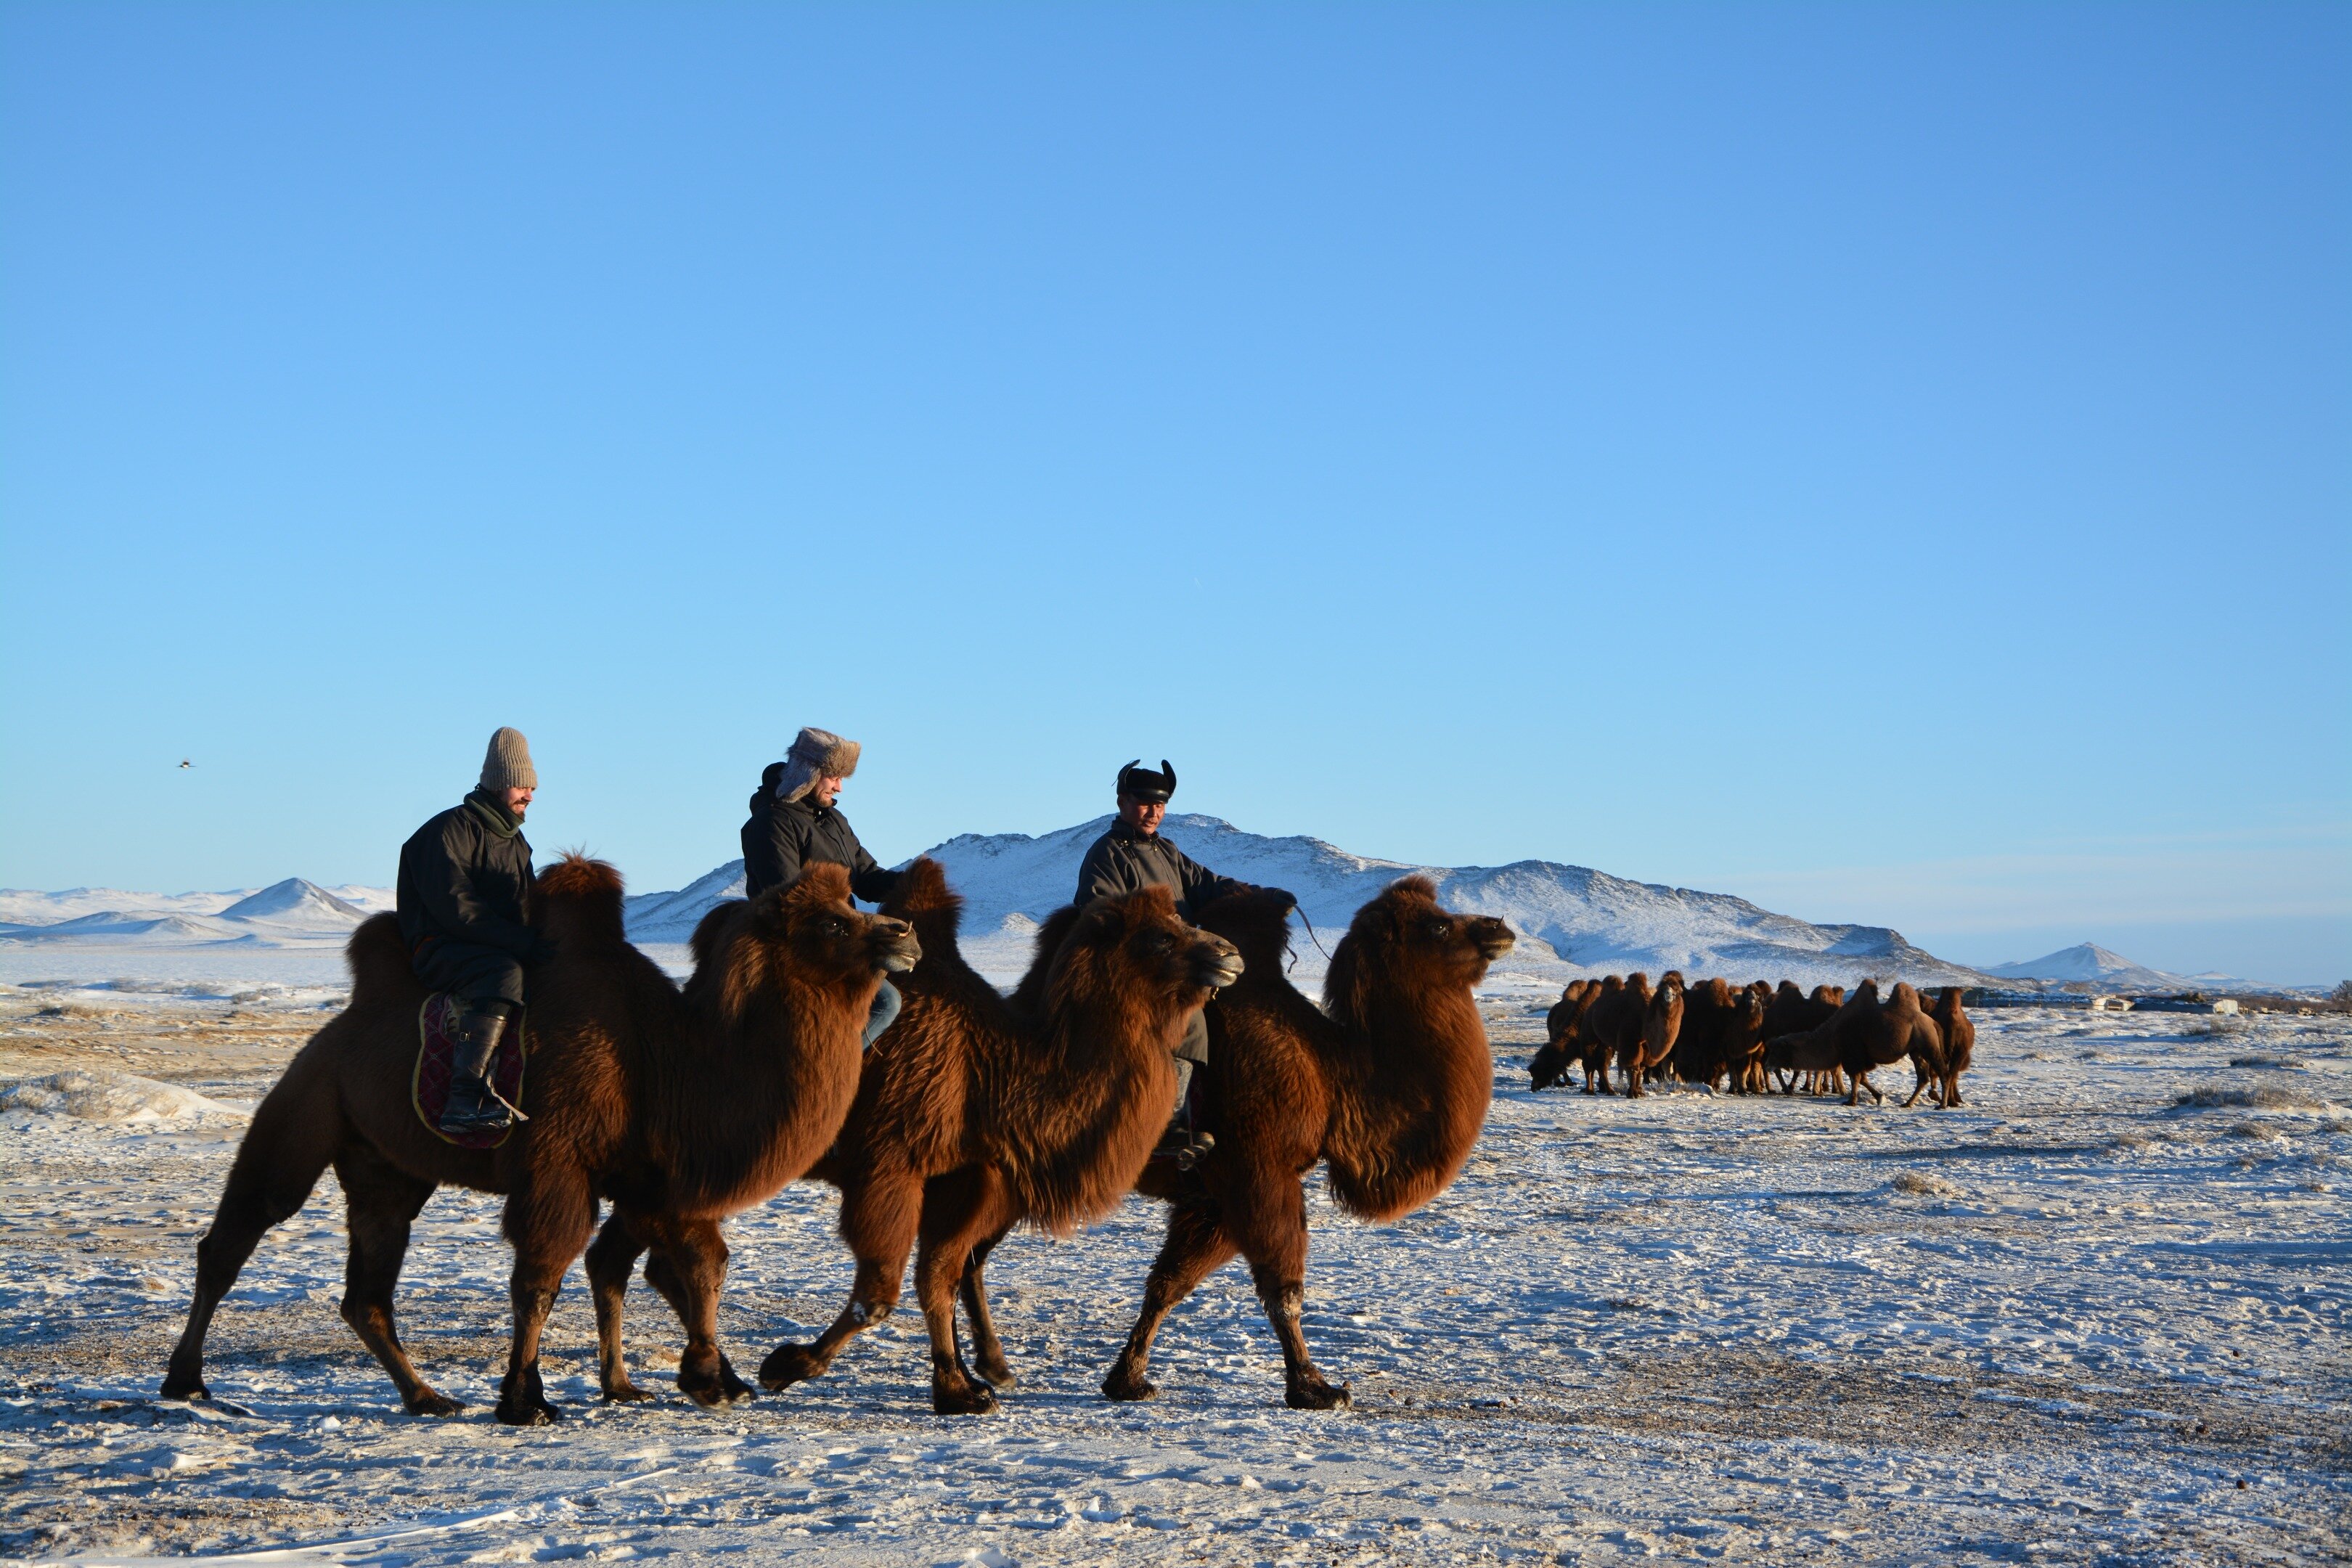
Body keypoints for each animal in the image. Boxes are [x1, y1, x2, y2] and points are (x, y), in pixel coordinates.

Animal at [160, 851, 912, 1429]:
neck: (668, 1062)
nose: (903, 934)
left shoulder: (653, 1178)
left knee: (366, 1291)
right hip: (305, 1110)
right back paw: (186, 1381)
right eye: (831, 920)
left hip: (385, 1169)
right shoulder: (559, 1162)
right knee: (236, 1235)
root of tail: (338, 1028)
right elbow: (542, 1276)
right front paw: (526, 1400)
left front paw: (707, 1379)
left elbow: (701, 1265)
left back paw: (428, 1397)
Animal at [752, 865, 1241, 1419]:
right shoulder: (890, 1168)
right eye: (1161, 936)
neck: (991, 1072)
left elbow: (937, 1278)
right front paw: (786, 1366)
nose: (1229, 954)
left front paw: (960, 1387)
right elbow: (883, 1290)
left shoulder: (968, 1176)